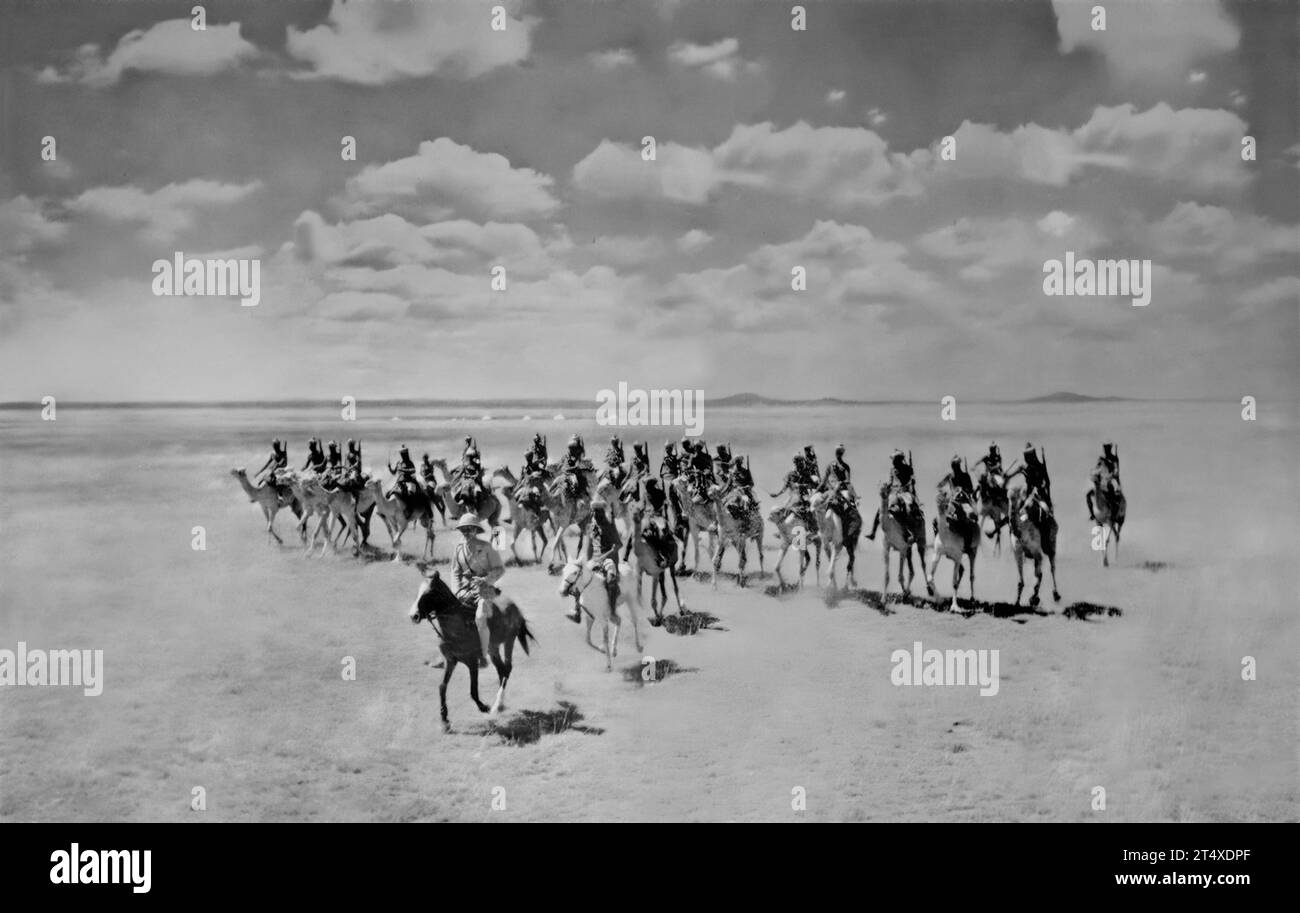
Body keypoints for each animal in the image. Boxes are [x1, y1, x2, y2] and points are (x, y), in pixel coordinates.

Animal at [403, 574, 530, 733]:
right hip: (493, 648)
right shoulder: (451, 661)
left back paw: (497, 705)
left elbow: (473, 690)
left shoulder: (472, 662)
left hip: (509, 641)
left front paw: (484, 707)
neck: (455, 627)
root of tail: (514, 606)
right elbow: (442, 687)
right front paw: (444, 720)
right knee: (501, 670)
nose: (413, 616)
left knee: (507, 669)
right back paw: (499, 705)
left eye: (430, 593)